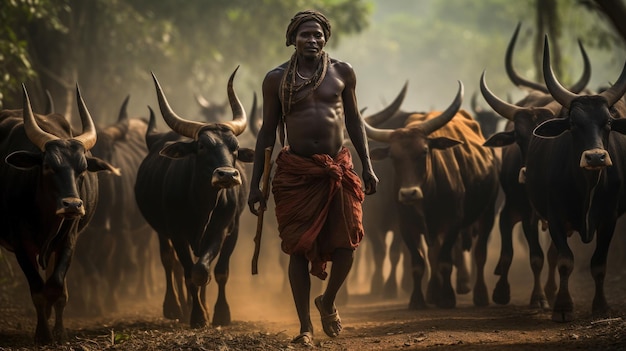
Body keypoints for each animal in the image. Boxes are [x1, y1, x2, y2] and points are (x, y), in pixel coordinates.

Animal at [0, 85, 118, 344]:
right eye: (48, 166)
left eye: (82, 168)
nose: (72, 205)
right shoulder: (20, 244)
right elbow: (38, 290)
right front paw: (43, 334)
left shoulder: (68, 240)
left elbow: (56, 287)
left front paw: (59, 333)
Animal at [134, 67, 254, 328]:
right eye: (201, 146)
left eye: (235, 148)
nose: (227, 175)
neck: (203, 205)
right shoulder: (176, 231)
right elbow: (191, 273)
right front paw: (197, 315)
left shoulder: (227, 228)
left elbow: (212, 271)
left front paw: (219, 313)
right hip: (161, 231)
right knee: (171, 263)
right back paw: (175, 307)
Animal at [360, 83, 498, 310]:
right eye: (393, 157)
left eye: (424, 151)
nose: (409, 193)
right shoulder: (405, 225)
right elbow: (418, 262)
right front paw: (417, 300)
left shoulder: (453, 222)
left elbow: (445, 261)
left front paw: (448, 298)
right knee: (432, 255)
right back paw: (433, 292)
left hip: (487, 213)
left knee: (479, 253)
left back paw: (479, 294)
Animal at [524, 37, 626, 322]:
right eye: (573, 124)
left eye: (609, 122)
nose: (595, 157)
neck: (587, 187)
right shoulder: (555, 216)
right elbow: (564, 261)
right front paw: (562, 306)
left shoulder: (609, 218)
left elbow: (599, 264)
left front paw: (601, 306)